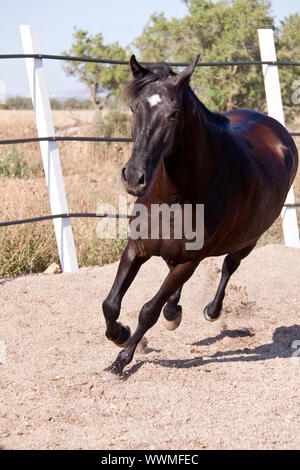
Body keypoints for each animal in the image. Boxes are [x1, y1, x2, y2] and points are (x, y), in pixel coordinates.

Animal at [102, 54, 298, 374]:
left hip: (248, 240)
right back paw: (173, 311)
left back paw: (209, 310)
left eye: (173, 113)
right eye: (134, 108)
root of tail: (276, 130)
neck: (173, 196)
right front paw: (119, 334)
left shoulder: (190, 260)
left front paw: (122, 360)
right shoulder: (137, 247)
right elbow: (111, 303)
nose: (134, 177)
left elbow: (148, 311)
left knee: (229, 266)